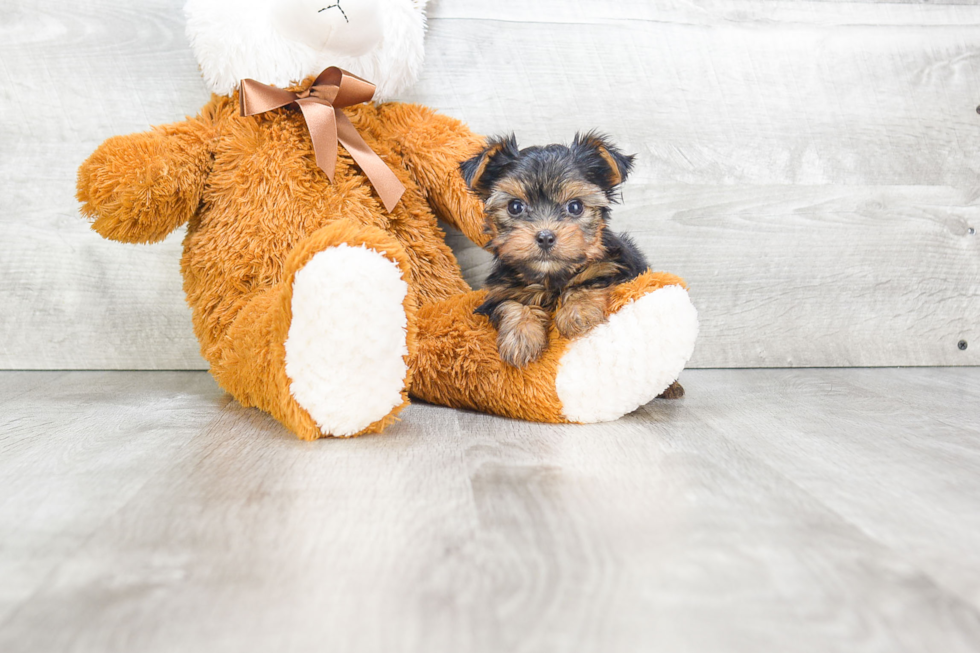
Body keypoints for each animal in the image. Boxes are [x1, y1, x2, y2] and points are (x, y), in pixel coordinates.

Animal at [464, 131, 684, 398]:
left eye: (575, 206)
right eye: (515, 207)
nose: (545, 236)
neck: (551, 276)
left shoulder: (613, 267)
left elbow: (587, 281)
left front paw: (577, 314)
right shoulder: (499, 291)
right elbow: (511, 304)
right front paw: (520, 338)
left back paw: (671, 387)